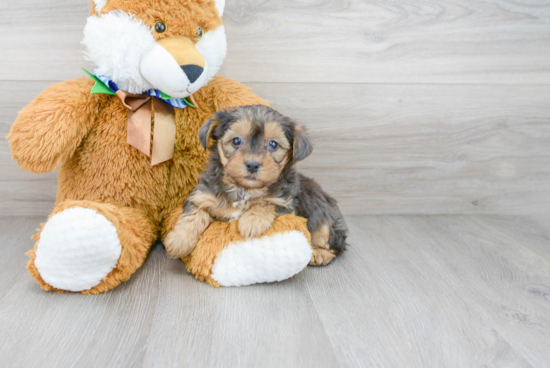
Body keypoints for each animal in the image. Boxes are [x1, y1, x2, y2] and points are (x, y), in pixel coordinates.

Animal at [164, 105, 350, 266]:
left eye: (273, 144)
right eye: (236, 141)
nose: (252, 165)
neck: (244, 189)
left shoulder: (287, 204)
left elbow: (267, 203)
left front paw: (252, 221)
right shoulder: (203, 195)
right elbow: (193, 215)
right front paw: (178, 241)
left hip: (324, 215)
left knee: (331, 240)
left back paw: (320, 253)